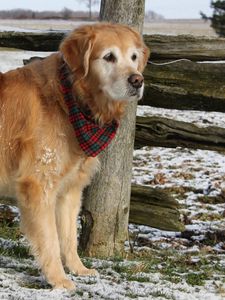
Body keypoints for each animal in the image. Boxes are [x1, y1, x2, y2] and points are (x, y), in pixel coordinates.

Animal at [0, 22, 149, 288]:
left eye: (134, 57)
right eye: (109, 57)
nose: (137, 80)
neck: (68, 100)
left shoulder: (70, 190)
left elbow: (69, 236)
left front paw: (78, 269)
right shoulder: (39, 184)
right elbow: (49, 238)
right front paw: (59, 280)